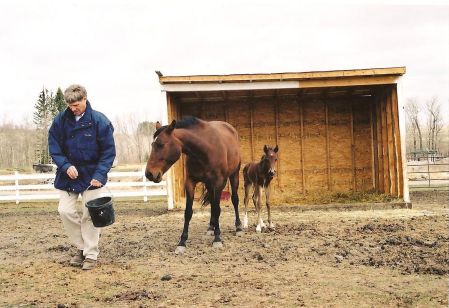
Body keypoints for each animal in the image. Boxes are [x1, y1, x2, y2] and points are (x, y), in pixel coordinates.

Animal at [144, 116, 242, 254]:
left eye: (161, 144)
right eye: (153, 145)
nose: (149, 174)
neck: (204, 150)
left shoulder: (218, 183)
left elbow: (217, 209)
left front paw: (217, 238)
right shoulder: (190, 182)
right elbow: (188, 212)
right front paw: (182, 242)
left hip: (234, 176)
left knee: (234, 200)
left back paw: (238, 227)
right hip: (210, 185)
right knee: (212, 203)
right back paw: (211, 227)